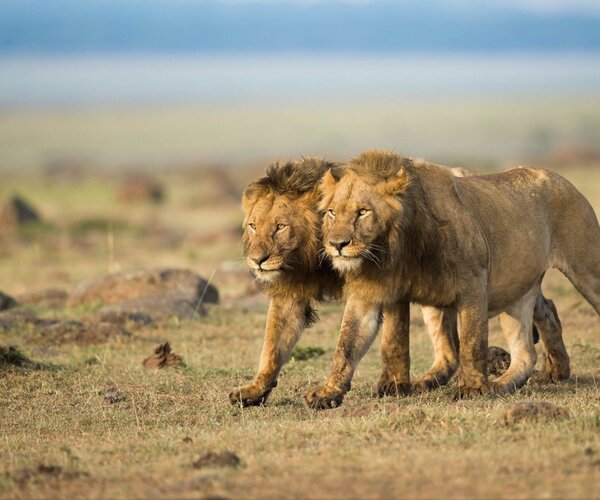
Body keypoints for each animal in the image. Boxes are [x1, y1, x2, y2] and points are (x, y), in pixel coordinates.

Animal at [230, 156, 568, 406]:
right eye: (252, 226)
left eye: (280, 227)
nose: (257, 260)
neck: (318, 259)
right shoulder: (294, 296)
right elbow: (273, 346)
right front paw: (255, 389)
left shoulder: (388, 283)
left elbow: (390, 339)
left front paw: (391, 386)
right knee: (535, 308)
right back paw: (556, 369)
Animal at [310, 149, 600, 406]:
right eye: (332, 212)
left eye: (363, 211)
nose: (336, 244)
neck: (392, 252)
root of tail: (555, 175)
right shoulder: (373, 294)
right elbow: (359, 343)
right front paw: (333, 392)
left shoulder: (473, 283)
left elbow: (472, 341)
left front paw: (473, 388)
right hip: (511, 290)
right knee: (522, 348)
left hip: (584, 270)